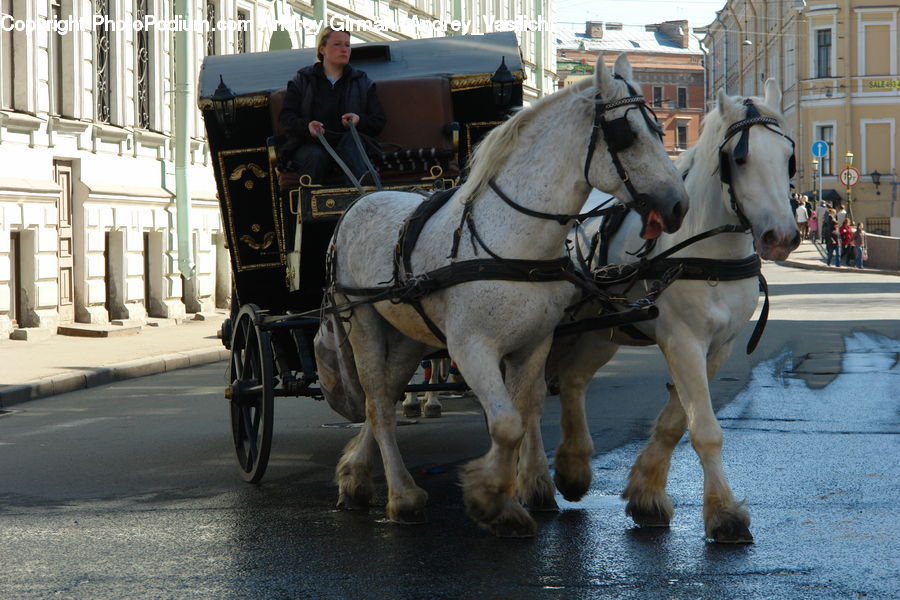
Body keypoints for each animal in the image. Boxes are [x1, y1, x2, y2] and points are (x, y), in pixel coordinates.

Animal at [320, 53, 689, 537]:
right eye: (626, 134)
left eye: (660, 131)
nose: (679, 205)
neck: (514, 242)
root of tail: (359, 200)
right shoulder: (471, 348)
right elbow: (508, 424)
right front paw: (490, 499)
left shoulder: (534, 344)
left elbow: (524, 411)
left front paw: (518, 493)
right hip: (362, 321)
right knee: (379, 403)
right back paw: (402, 496)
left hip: (408, 335)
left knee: (382, 396)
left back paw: (355, 477)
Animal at [537, 80, 800, 542]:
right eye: (740, 158)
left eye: (788, 158)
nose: (781, 237)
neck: (707, 253)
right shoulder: (682, 339)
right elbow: (705, 429)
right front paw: (724, 513)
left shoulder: (718, 346)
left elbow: (678, 420)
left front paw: (646, 494)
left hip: (599, 333)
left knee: (571, 382)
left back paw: (572, 468)